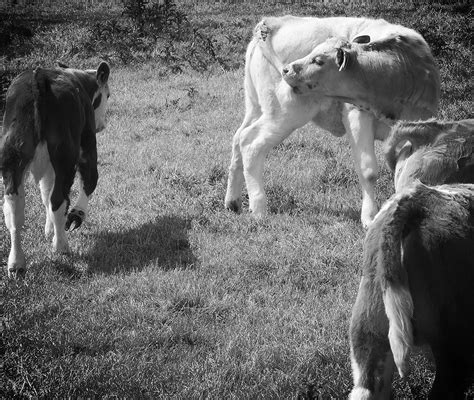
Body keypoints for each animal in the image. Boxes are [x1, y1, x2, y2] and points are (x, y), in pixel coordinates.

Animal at [1, 62, 110, 278]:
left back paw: (16, 264)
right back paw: (61, 246)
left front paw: (49, 230)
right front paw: (75, 216)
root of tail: (38, 79)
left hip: (12, 157)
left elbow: (45, 193)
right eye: (107, 95)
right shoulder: (87, 144)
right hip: (66, 156)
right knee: (59, 199)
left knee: (15, 209)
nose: (101, 126)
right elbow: (90, 180)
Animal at [224, 16, 438, 228]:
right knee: (250, 143)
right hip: (285, 113)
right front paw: (369, 217)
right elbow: (368, 170)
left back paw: (232, 202)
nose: (287, 69)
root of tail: (272, 23)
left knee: (238, 138)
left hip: (255, 107)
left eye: (319, 60)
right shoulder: (357, 115)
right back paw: (259, 208)